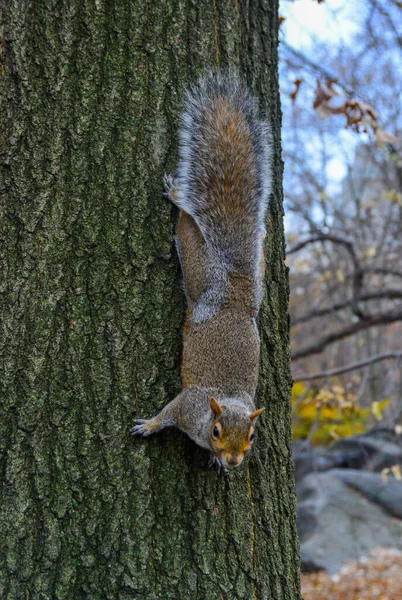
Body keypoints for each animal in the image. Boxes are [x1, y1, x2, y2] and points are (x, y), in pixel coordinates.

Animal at [130, 71, 272, 474]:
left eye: (252, 437)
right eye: (216, 431)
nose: (235, 461)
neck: (222, 402)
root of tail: (235, 287)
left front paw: (218, 463)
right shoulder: (188, 406)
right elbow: (168, 413)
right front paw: (149, 425)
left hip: (254, 280)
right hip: (200, 271)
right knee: (187, 229)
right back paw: (179, 197)